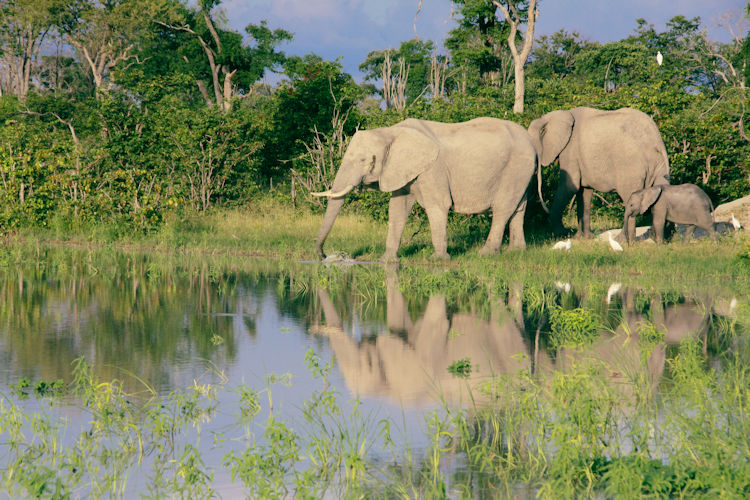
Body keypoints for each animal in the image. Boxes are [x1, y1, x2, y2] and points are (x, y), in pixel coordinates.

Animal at [313, 117, 542, 261]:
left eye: (364, 160)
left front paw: (438, 259)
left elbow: (438, 205)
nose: (324, 256)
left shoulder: (434, 168)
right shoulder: (401, 169)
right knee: (519, 208)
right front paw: (387, 260)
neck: (391, 131)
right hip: (522, 171)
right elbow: (397, 209)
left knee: (503, 208)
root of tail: (532, 142)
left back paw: (485, 254)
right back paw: (516, 252)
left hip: (516, 166)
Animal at [528, 107, 670, 238]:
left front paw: (562, 235)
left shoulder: (570, 150)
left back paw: (623, 240)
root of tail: (656, 139)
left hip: (630, 165)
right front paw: (583, 238)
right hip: (659, 165)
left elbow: (570, 186)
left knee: (629, 197)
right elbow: (584, 192)